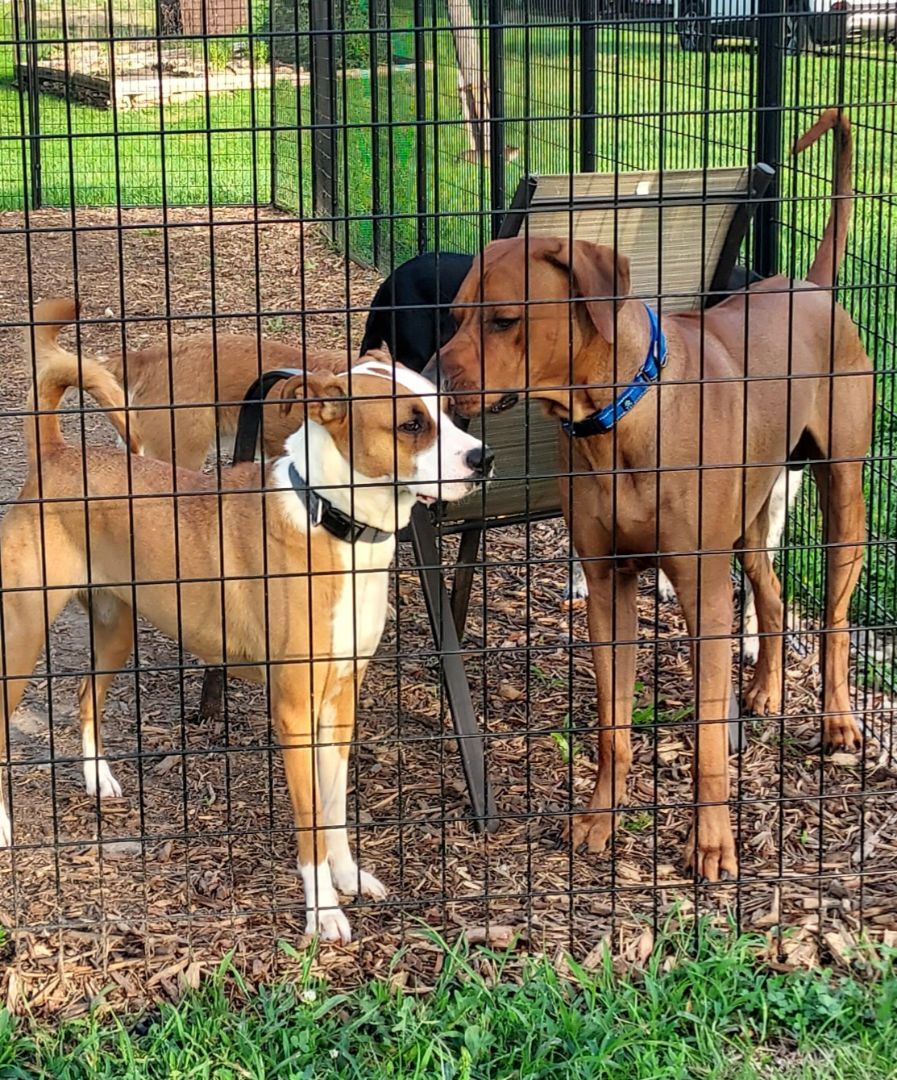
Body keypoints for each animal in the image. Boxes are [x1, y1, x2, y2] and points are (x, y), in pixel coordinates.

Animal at [1, 302, 493, 941]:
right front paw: (322, 911)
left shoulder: (339, 702)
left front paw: (348, 876)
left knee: (86, 694)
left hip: (116, 629)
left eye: (448, 411)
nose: (483, 458)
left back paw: (98, 780)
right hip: (22, 637)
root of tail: (56, 456)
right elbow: (310, 820)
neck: (331, 521)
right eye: (410, 425)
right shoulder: (295, 711)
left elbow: (335, 807)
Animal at [429, 109, 872, 881]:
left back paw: (837, 720)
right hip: (749, 517)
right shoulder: (608, 585)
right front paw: (599, 819)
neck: (617, 418)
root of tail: (812, 285)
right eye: (454, 317)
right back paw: (765, 688)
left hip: (842, 491)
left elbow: (706, 737)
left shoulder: (699, 589)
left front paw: (712, 843)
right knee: (771, 590)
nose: (431, 381)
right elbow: (612, 725)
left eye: (505, 319)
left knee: (835, 617)